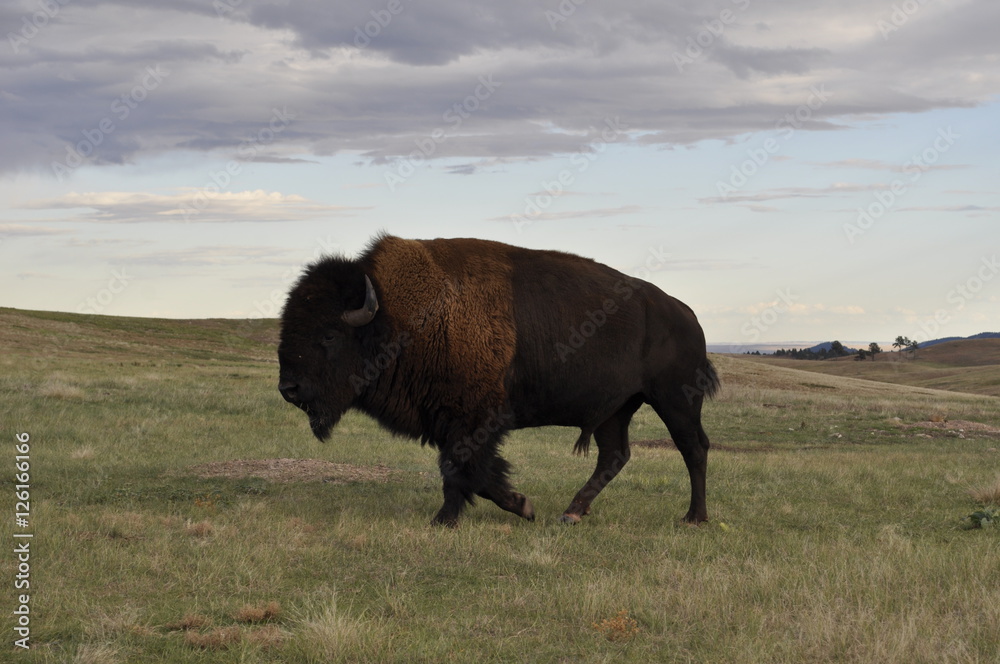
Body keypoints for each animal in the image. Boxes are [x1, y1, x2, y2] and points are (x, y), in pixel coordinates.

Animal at [278, 235, 718, 527]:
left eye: (329, 335)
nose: (288, 388)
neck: (397, 318)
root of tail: (687, 316)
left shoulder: (472, 420)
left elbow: (462, 469)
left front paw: (448, 519)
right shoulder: (453, 422)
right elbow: (477, 472)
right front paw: (522, 505)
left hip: (675, 400)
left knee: (693, 448)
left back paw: (694, 518)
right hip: (617, 409)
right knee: (614, 455)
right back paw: (572, 512)